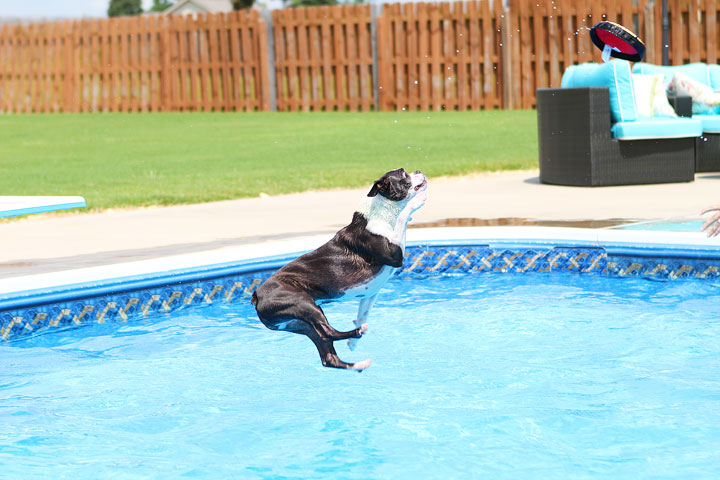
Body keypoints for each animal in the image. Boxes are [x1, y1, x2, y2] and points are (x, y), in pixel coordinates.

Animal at [252, 169, 428, 372]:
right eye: (404, 174)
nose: (418, 171)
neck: (382, 211)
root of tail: (256, 295)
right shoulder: (394, 255)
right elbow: (402, 217)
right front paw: (416, 202)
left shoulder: (369, 295)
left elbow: (362, 315)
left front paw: (353, 343)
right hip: (303, 302)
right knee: (328, 332)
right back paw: (358, 333)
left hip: (298, 323)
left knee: (326, 352)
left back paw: (358, 361)